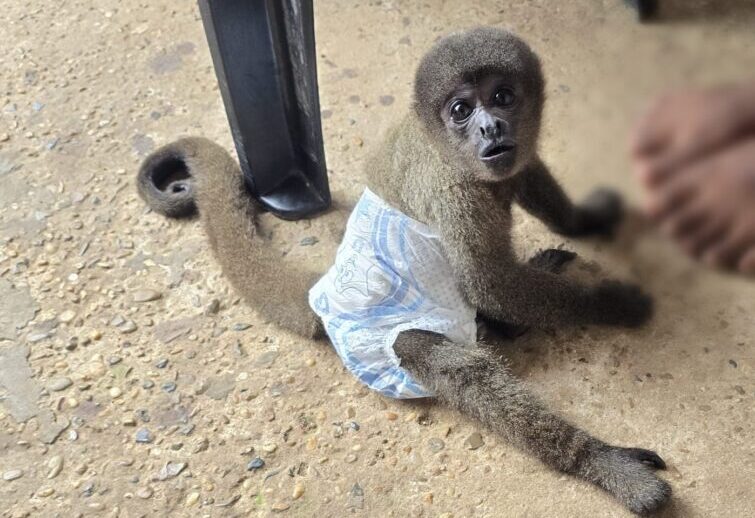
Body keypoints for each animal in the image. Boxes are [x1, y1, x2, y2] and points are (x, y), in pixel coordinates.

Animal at [137, 28, 670, 514]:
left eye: (502, 96)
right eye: (461, 110)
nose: (491, 128)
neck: (447, 150)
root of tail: (323, 293)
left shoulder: (507, 164)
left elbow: (528, 178)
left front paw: (586, 220)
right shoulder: (452, 192)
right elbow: (491, 284)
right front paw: (615, 304)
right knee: (445, 361)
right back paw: (601, 462)